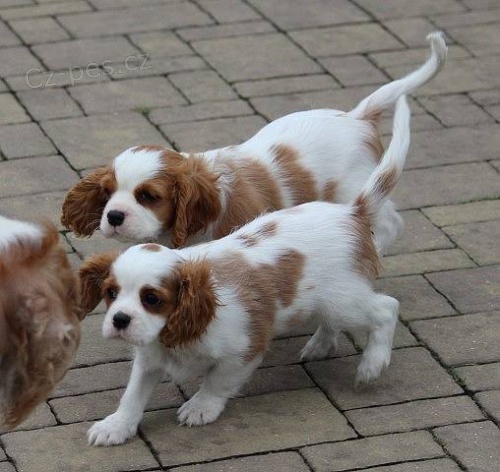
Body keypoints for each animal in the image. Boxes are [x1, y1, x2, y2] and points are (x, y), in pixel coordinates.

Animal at [62, 33, 446, 256]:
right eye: (107, 192)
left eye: (148, 196)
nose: (113, 216)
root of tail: (357, 117)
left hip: (355, 189)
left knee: (392, 221)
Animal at [78, 95, 410, 446]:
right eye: (111, 293)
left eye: (152, 299)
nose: (119, 319)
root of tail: (351, 213)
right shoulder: (149, 358)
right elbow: (133, 393)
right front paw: (116, 425)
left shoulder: (243, 348)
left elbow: (217, 381)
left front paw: (201, 407)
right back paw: (323, 345)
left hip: (343, 299)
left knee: (386, 307)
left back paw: (373, 363)